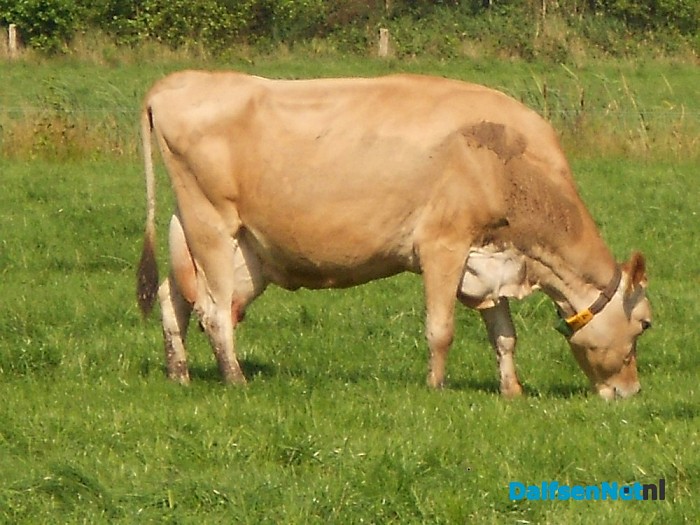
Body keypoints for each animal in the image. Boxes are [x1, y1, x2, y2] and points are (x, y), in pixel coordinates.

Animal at [136, 71, 652, 400]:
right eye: (645, 324)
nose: (630, 391)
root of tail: (177, 80)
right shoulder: (443, 244)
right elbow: (441, 329)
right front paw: (436, 389)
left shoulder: (489, 257)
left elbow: (504, 335)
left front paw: (511, 391)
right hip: (211, 224)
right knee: (213, 311)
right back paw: (235, 381)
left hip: (210, 238)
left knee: (174, 297)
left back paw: (179, 375)